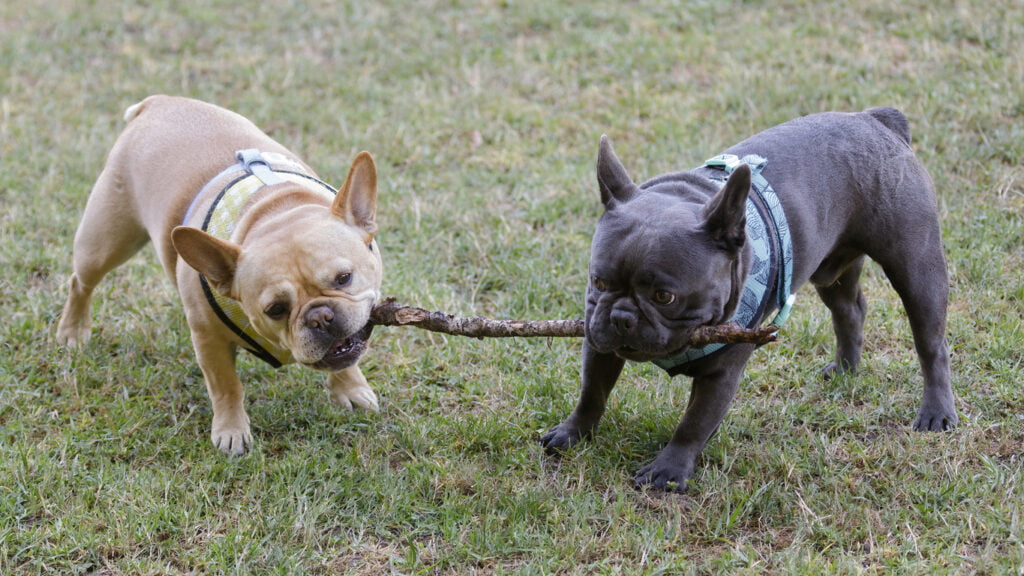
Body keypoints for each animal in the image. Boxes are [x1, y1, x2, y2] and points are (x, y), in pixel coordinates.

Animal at [57, 95, 385, 453]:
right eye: (276, 309)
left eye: (344, 278)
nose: (320, 317)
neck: (271, 211)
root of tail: (159, 101)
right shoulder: (208, 339)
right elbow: (226, 385)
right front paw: (231, 431)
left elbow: (348, 356)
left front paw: (350, 388)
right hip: (106, 242)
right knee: (80, 282)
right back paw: (73, 331)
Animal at [544, 107, 958, 487]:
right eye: (598, 282)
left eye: (664, 297)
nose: (621, 316)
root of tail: (876, 120)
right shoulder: (598, 343)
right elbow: (592, 392)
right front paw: (572, 433)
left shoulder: (722, 374)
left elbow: (694, 422)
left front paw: (669, 471)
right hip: (832, 267)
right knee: (850, 310)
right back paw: (845, 369)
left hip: (916, 266)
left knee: (931, 343)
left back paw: (936, 412)